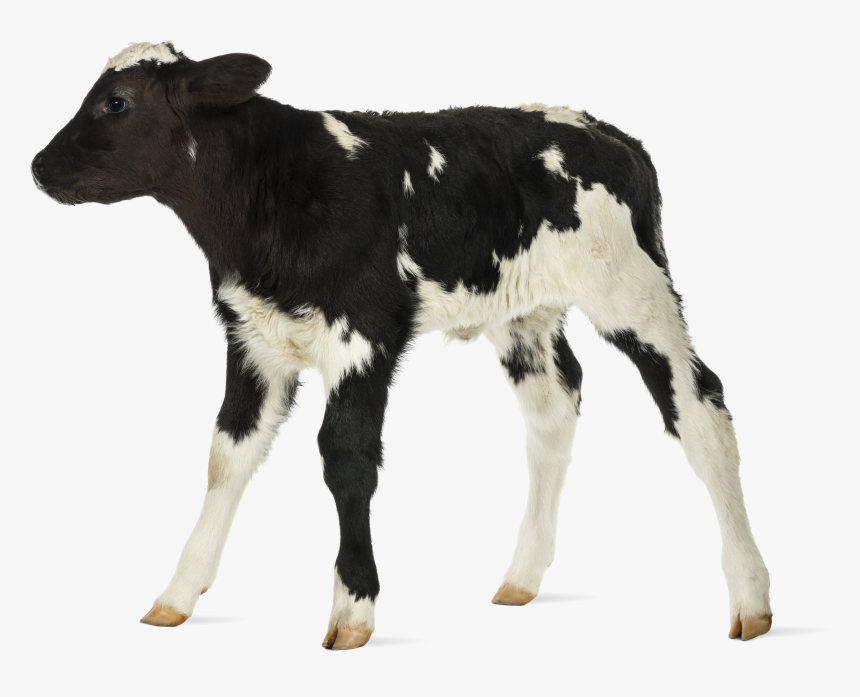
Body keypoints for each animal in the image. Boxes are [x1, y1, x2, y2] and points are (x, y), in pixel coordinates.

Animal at [31, 42, 772, 649]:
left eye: (117, 102)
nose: (38, 167)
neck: (270, 200)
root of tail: (607, 131)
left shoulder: (363, 332)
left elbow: (346, 458)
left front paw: (352, 609)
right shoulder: (252, 337)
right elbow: (226, 455)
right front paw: (176, 595)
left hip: (633, 290)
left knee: (702, 408)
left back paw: (751, 597)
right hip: (525, 314)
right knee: (554, 410)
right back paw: (522, 577)